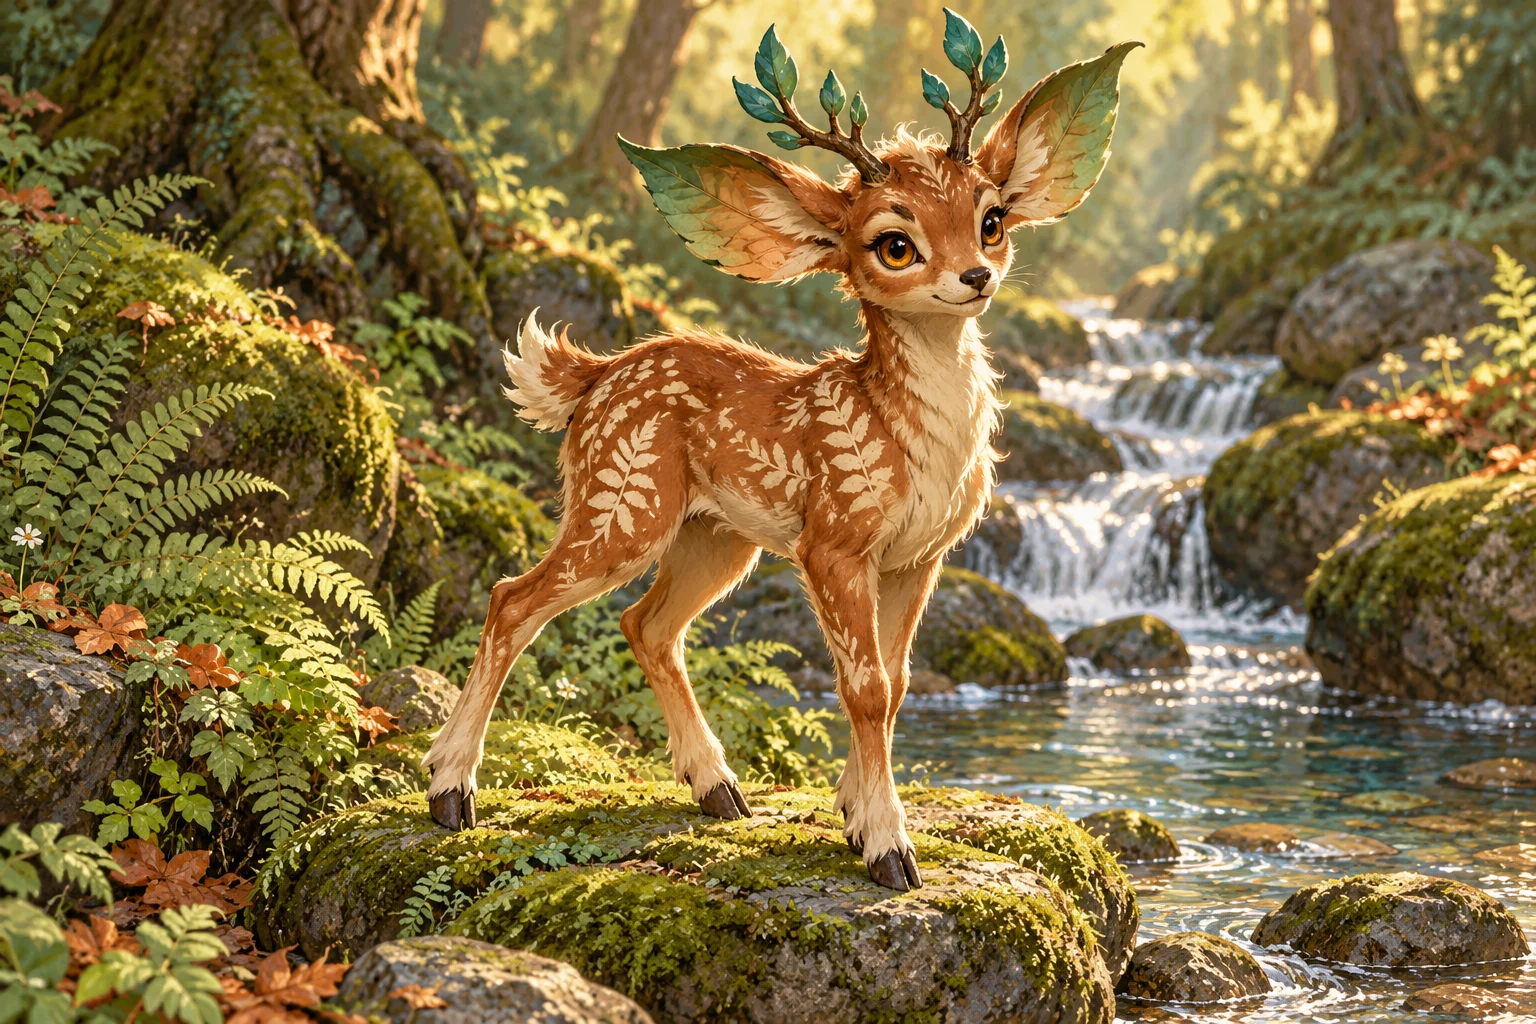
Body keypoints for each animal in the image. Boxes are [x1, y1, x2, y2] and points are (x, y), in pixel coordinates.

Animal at [423, 11, 1139, 891]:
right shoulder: (833, 537)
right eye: (893, 244)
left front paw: (853, 816)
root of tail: (591, 378)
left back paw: (718, 790)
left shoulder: (920, 555)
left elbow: (898, 684)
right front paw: (888, 847)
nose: (975, 275)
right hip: (622, 496)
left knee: (645, 624)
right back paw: (452, 792)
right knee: (513, 598)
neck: (907, 440)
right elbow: (862, 686)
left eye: (992, 219)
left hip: (715, 536)